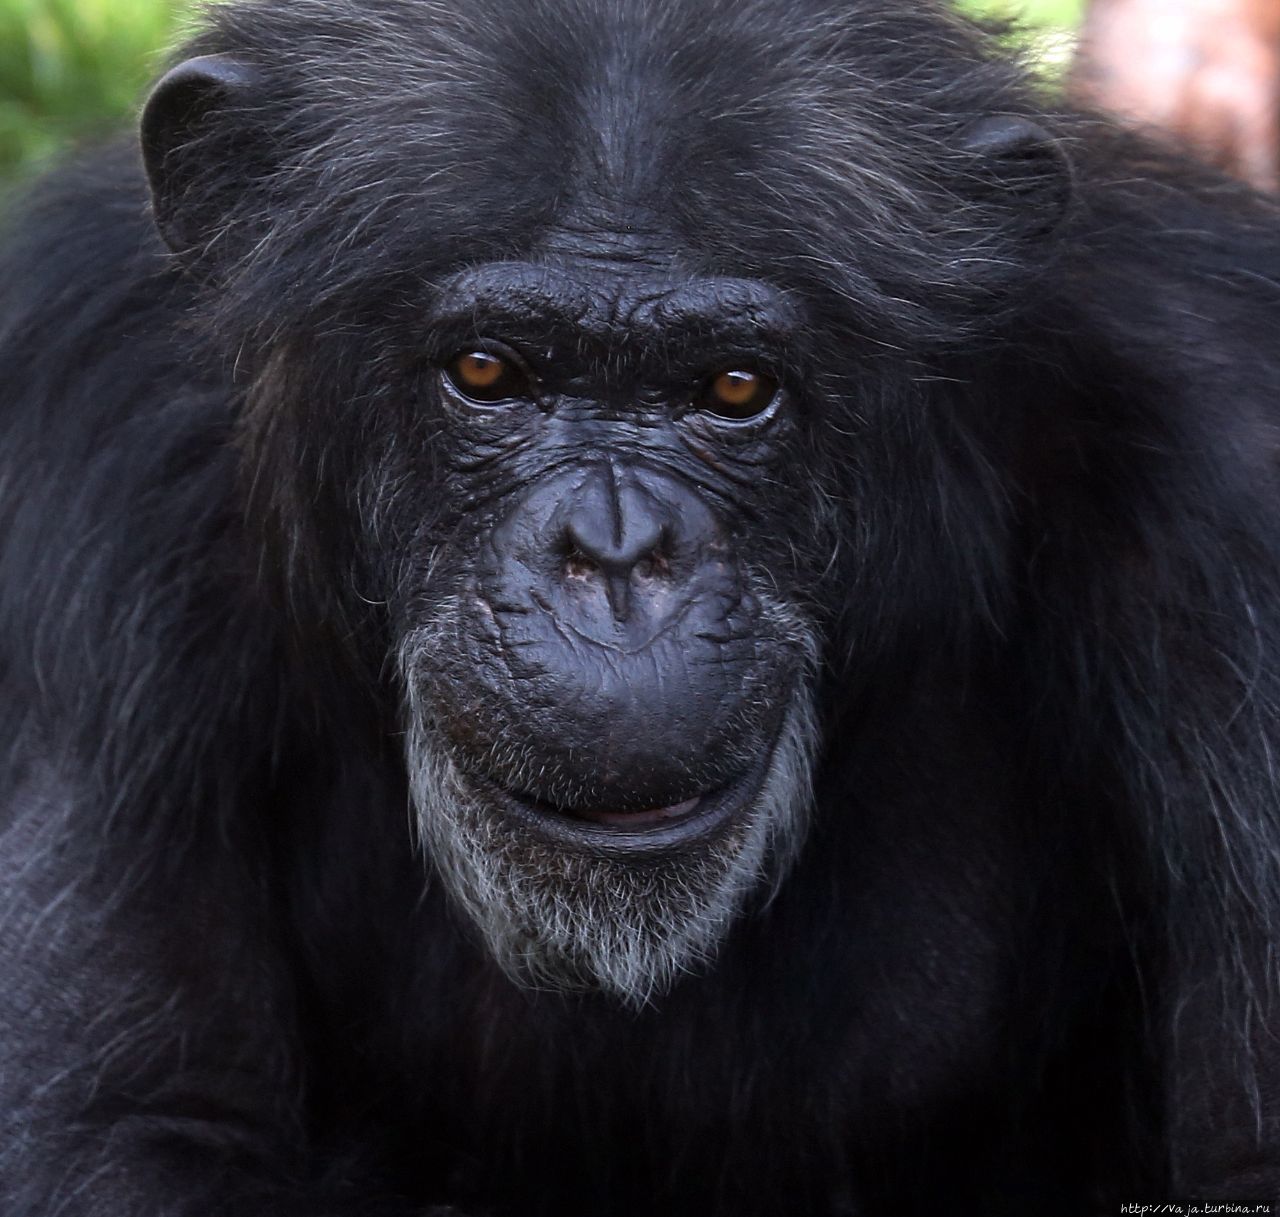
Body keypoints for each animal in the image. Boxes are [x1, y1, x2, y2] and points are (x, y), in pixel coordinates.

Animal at [2, 0, 1280, 1213]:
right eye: (485, 371)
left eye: (734, 387)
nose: (615, 556)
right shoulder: (81, 419)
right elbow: (127, 1131)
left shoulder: (1229, 471)